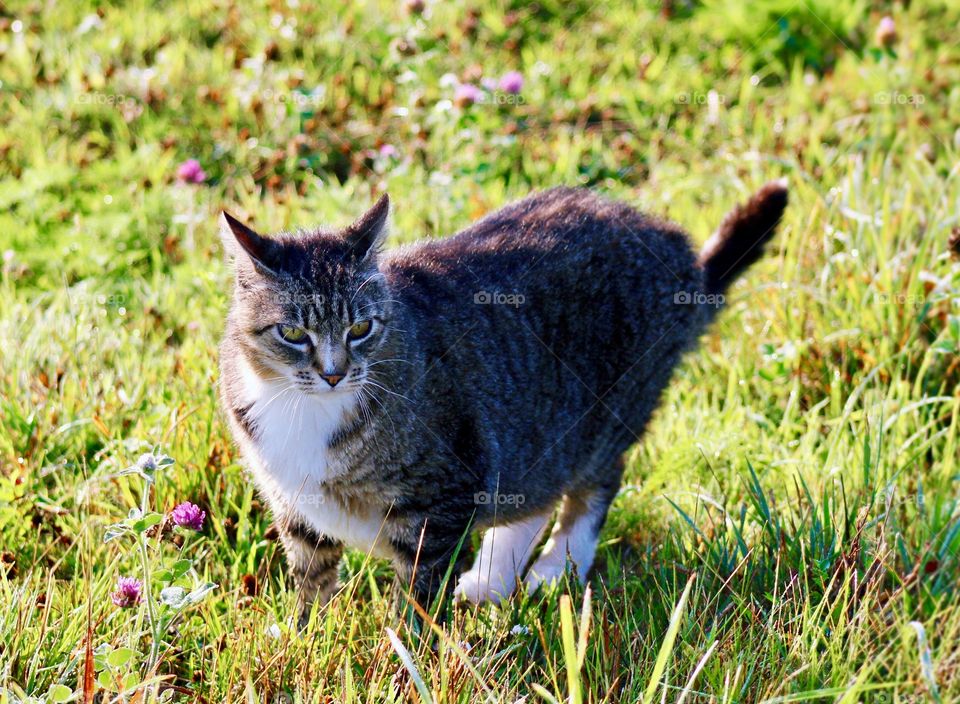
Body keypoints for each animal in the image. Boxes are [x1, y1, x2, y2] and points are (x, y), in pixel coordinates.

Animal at [218, 179, 788, 620]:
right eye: (293, 333)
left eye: (361, 328)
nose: (334, 374)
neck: (304, 409)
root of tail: (674, 250)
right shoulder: (293, 503)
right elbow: (311, 579)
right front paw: (301, 637)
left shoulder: (443, 500)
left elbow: (418, 601)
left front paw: (403, 661)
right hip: (536, 437)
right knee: (535, 493)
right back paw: (492, 580)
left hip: (601, 418)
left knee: (594, 485)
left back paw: (556, 567)